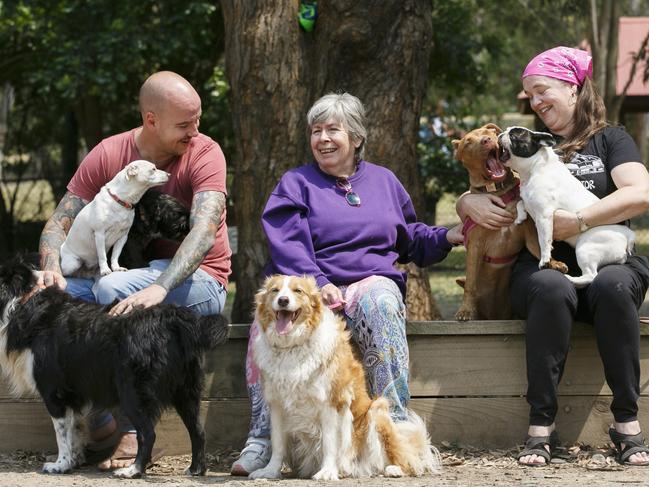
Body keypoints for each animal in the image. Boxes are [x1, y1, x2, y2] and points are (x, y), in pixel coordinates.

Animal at [0, 262, 228, 478]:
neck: (24, 302)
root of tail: (174, 318)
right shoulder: (73, 395)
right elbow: (75, 430)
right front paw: (74, 460)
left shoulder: (54, 392)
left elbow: (62, 434)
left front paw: (60, 465)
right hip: (186, 389)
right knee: (198, 431)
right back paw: (196, 469)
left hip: (133, 392)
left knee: (148, 433)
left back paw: (133, 470)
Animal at [248, 276, 440, 482]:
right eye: (275, 291)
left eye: (298, 291)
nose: (283, 300)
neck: (292, 346)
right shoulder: (277, 404)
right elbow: (278, 444)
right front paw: (270, 471)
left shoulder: (331, 402)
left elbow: (329, 442)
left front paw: (327, 471)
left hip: (377, 410)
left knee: (403, 457)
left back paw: (394, 469)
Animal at [450, 123, 568, 320]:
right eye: (468, 143)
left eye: (488, 132)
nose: (486, 141)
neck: (497, 191)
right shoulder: (475, 246)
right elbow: (470, 283)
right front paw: (465, 310)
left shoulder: (529, 234)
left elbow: (539, 247)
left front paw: (553, 263)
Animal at [496, 126, 632, 288]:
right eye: (507, 131)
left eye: (513, 136)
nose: (501, 134)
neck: (534, 168)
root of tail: (627, 236)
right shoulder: (529, 202)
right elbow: (520, 202)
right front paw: (520, 216)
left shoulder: (544, 216)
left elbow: (543, 240)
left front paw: (545, 260)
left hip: (584, 248)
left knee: (590, 276)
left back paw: (570, 278)